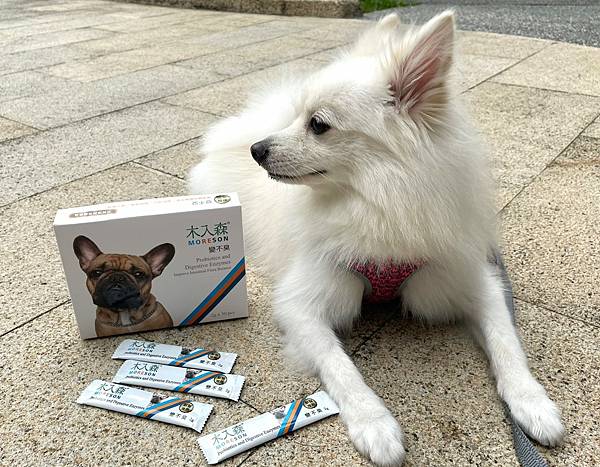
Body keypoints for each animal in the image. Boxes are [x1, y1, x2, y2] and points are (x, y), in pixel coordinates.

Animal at [189, 11, 564, 465]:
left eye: (318, 124)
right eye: (299, 118)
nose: (257, 150)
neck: (375, 202)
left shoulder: (472, 282)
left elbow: (507, 341)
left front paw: (533, 404)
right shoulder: (301, 306)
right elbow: (340, 366)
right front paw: (375, 425)